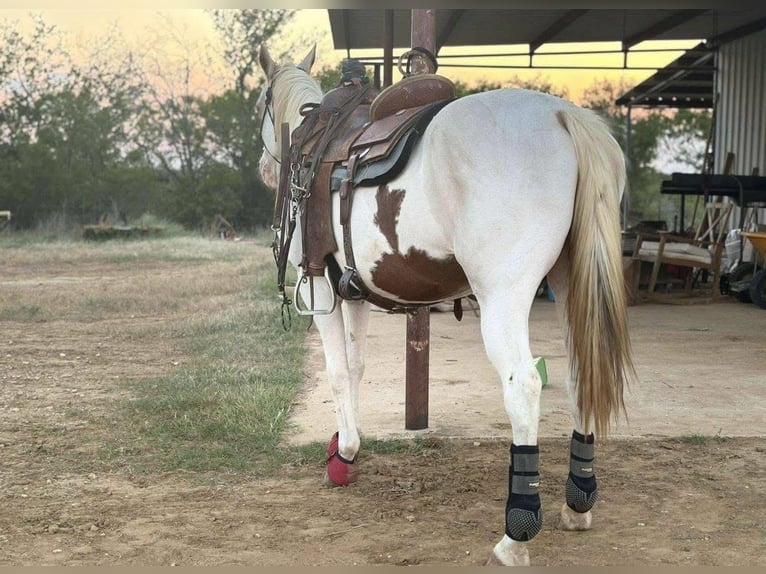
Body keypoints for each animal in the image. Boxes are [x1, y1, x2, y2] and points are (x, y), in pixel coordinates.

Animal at [258, 45, 636, 568]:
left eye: (260, 106)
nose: (264, 167)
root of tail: (563, 116)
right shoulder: (352, 293)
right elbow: (355, 368)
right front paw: (347, 444)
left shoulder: (320, 293)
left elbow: (336, 372)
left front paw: (344, 454)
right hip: (570, 283)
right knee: (582, 374)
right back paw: (578, 503)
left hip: (503, 295)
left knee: (524, 386)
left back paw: (517, 534)